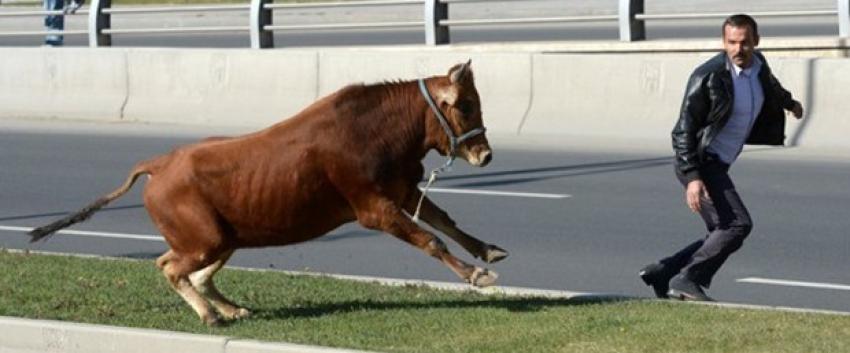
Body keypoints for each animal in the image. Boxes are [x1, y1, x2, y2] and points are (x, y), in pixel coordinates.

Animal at [31, 62, 510, 326]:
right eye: (465, 105)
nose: (484, 154)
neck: (380, 130)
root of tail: (158, 165)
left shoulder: (403, 189)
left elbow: (443, 219)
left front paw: (488, 251)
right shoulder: (373, 208)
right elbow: (430, 238)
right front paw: (477, 275)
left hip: (223, 238)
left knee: (196, 273)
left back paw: (232, 310)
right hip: (204, 238)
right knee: (169, 266)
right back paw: (210, 315)